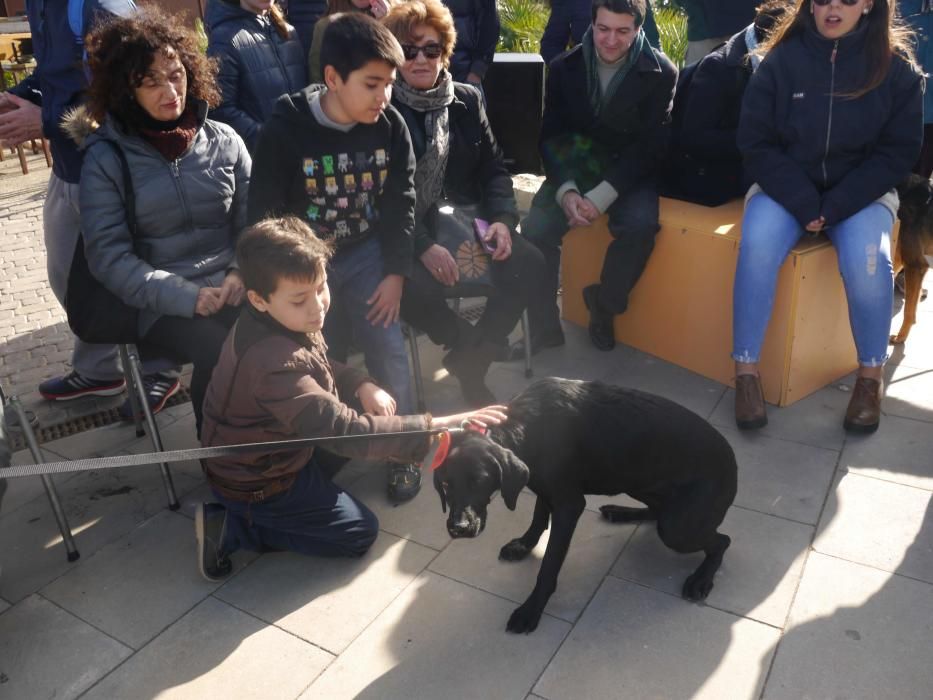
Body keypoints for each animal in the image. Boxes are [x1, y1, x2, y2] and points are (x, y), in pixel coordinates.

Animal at [436, 378, 736, 636]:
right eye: (446, 485)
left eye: (479, 481)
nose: (458, 528)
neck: (526, 425)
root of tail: (733, 463)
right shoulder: (545, 488)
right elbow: (537, 518)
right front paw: (524, 544)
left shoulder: (569, 505)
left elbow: (549, 565)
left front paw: (531, 609)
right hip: (639, 486)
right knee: (658, 511)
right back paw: (621, 512)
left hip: (678, 530)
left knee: (721, 540)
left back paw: (701, 579)